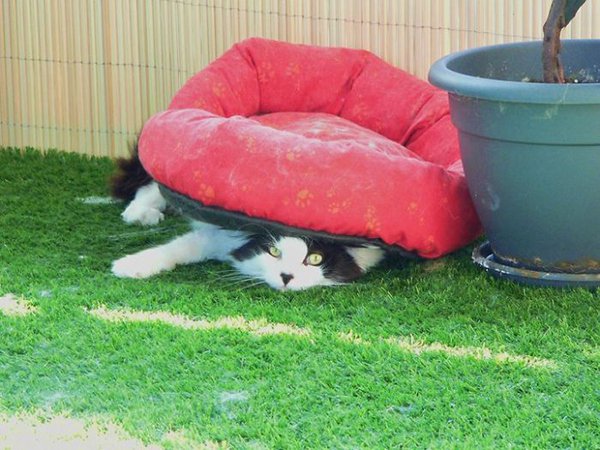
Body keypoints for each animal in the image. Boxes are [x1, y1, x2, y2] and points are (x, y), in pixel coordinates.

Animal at [109, 145, 384, 292]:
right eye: (273, 251)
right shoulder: (219, 234)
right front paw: (128, 266)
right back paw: (140, 214)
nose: (287, 277)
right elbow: (179, 247)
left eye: (315, 258)